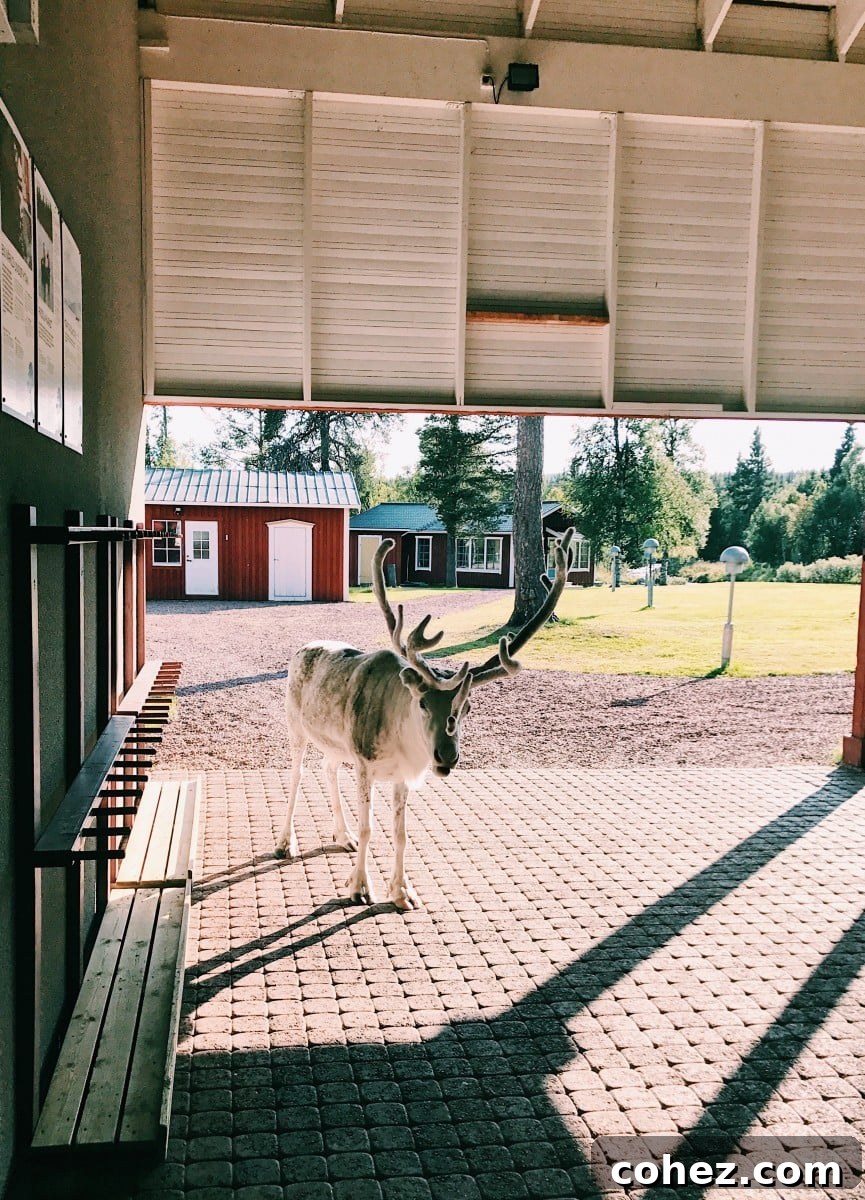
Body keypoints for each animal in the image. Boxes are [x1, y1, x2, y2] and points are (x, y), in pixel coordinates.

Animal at [275, 528, 575, 909]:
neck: (399, 741)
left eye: (467, 706)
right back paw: (285, 843)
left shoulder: (400, 775)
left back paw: (342, 836)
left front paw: (402, 891)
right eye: (421, 702)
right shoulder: (363, 762)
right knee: (297, 775)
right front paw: (359, 887)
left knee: (327, 768)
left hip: (335, 744)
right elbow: (369, 827)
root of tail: (301, 650)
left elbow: (401, 833)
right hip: (295, 725)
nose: (447, 757)